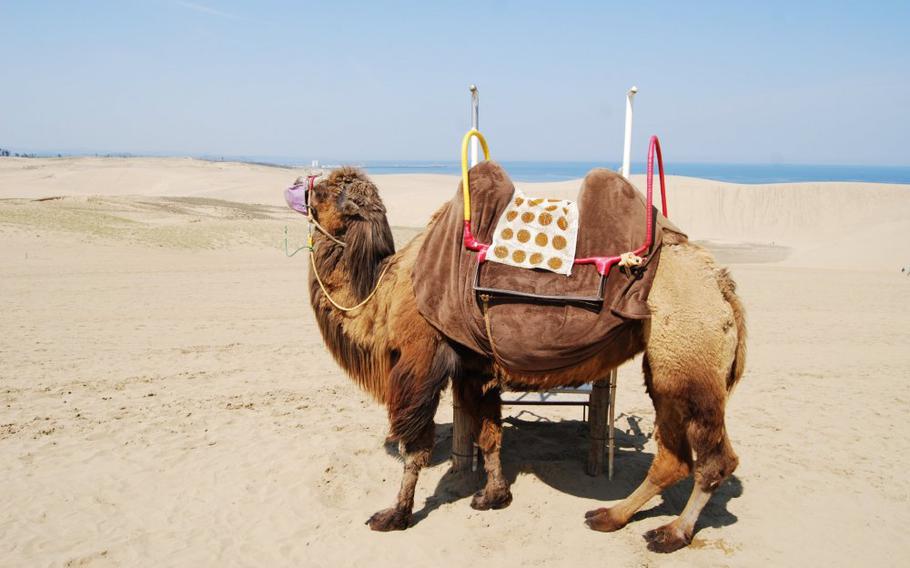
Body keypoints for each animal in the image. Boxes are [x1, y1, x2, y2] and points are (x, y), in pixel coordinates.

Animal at [306, 166, 748, 552]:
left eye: (325, 188)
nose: (302, 187)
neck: (383, 288)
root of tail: (722, 284)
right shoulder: (475, 368)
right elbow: (489, 434)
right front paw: (493, 496)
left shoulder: (420, 360)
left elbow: (413, 447)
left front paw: (394, 515)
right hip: (668, 369)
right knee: (673, 458)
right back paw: (609, 517)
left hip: (687, 357)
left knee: (714, 460)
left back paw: (672, 534)